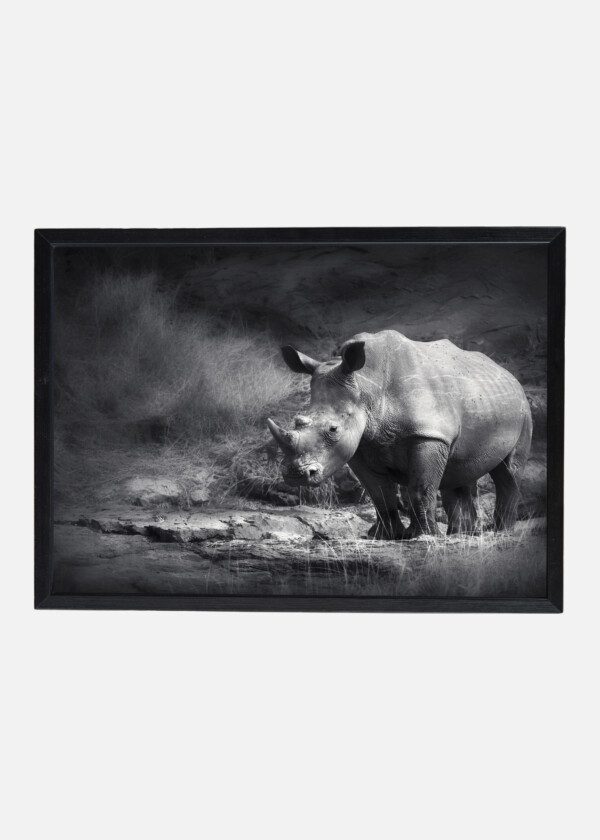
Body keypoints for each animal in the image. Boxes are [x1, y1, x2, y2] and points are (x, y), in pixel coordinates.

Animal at [267, 329, 532, 539]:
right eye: (297, 421)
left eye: (333, 429)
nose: (296, 475)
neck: (367, 386)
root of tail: (508, 375)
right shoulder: (361, 446)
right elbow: (380, 496)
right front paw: (384, 536)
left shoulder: (428, 434)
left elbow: (420, 490)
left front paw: (424, 536)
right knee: (459, 471)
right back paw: (461, 534)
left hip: (522, 408)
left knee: (507, 472)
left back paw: (501, 532)